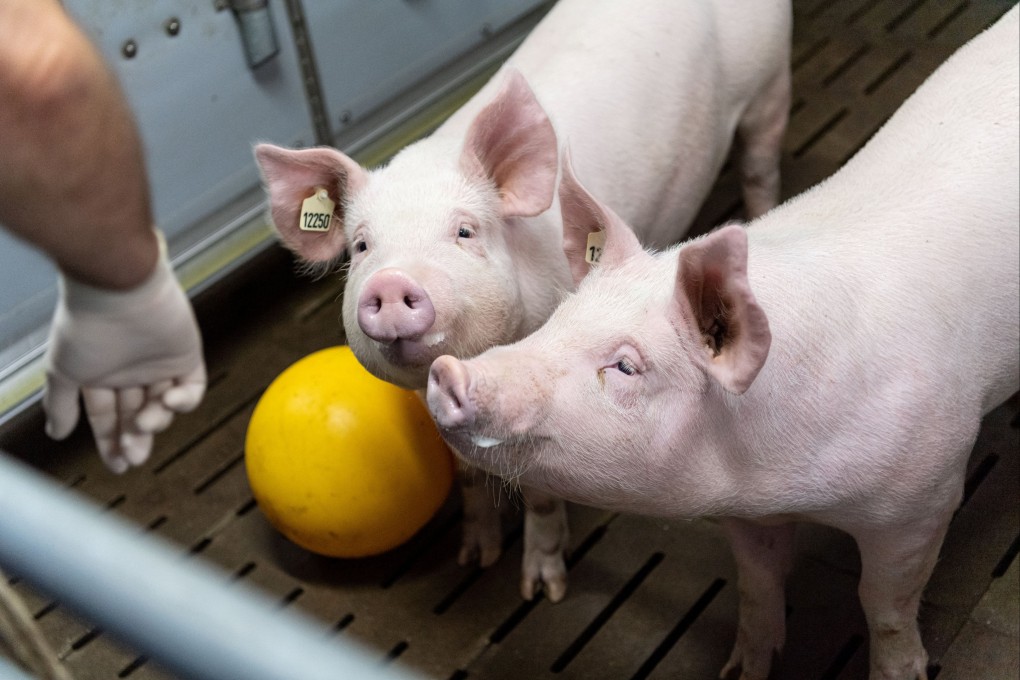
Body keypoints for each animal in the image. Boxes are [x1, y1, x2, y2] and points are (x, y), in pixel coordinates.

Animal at [254, 0, 792, 603]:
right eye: (362, 246)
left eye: (465, 231)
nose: (390, 282)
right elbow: (465, 473)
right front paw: (475, 558)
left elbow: (538, 491)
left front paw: (541, 590)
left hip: (769, 84)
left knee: (760, 164)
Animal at [426, 7, 1020, 680]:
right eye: (559, 317)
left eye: (625, 366)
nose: (447, 372)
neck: (775, 474)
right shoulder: (746, 510)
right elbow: (757, 584)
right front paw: (741, 670)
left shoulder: (927, 493)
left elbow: (885, 603)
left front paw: (901, 670)